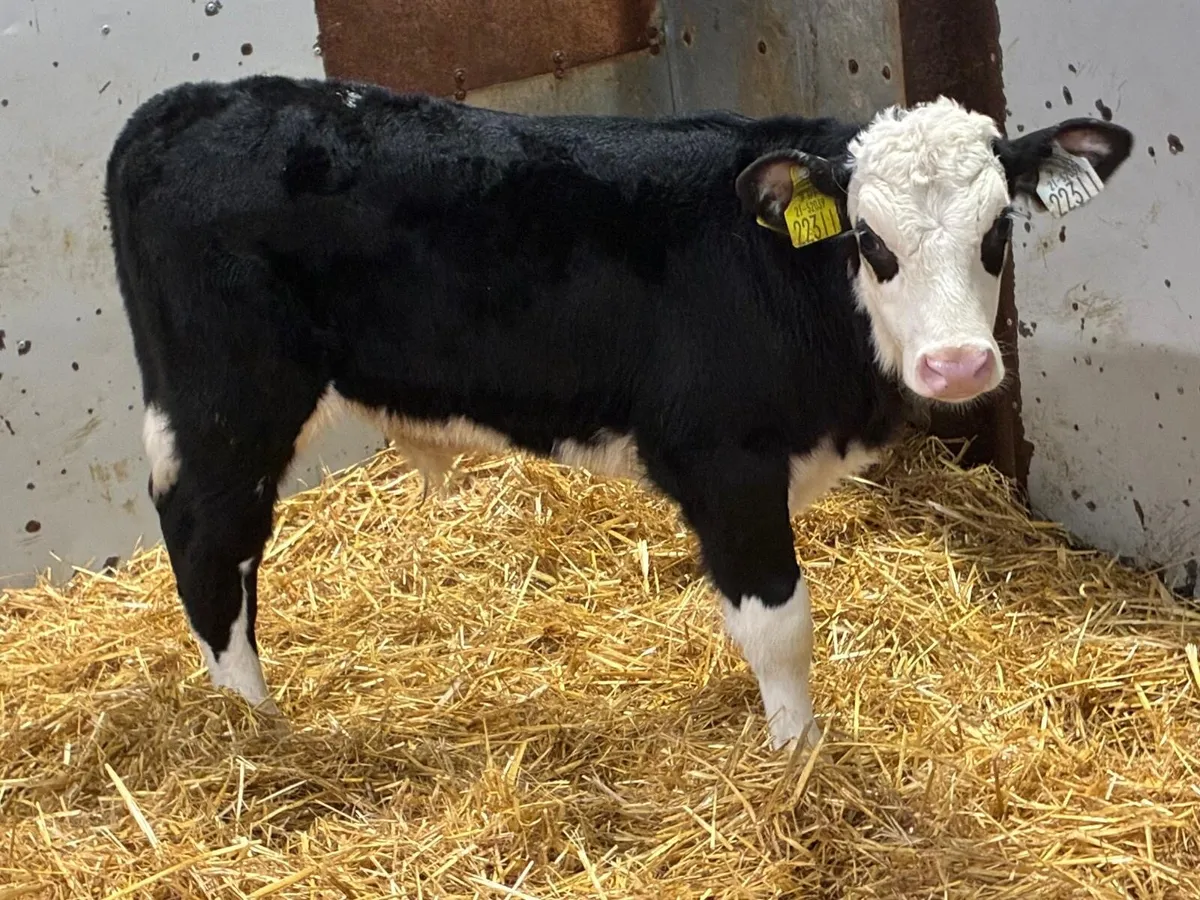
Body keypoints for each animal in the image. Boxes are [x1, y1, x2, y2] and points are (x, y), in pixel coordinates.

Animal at [105, 74, 1132, 750]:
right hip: (230, 399)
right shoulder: (722, 459)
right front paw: (800, 761)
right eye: (870, 241)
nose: (958, 365)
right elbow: (781, 625)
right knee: (208, 540)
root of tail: (182, 104)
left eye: (1000, 230)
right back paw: (254, 727)